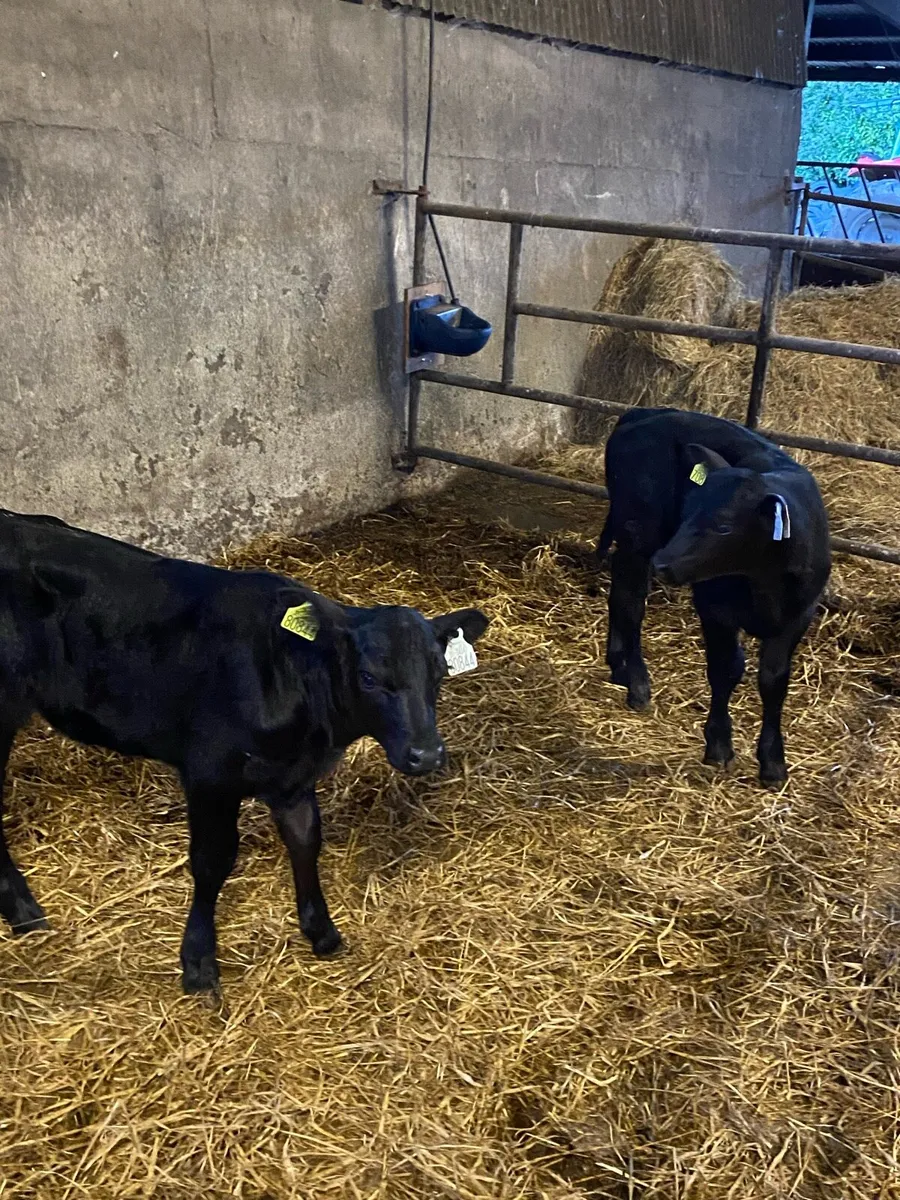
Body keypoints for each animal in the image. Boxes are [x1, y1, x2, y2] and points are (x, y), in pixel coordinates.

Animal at [0, 510, 488, 993]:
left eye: (440, 671)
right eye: (368, 678)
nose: (426, 754)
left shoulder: (294, 777)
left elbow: (306, 840)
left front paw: (320, 930)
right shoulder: (209, 774)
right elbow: (212, 860)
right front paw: (198, 961)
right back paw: (22, 909)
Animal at [598, 407, 830, 785]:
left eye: (724, 526)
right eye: (689, 509)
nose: (664, 563)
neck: (762, 582)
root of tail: (643, 412)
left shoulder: (798, 615)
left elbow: (773, 680)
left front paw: (773, 764)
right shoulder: (715, 608)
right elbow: (726, 669)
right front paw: (719, 745)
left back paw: (618, 665)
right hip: (638, 534)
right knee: (629, 602)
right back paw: (637, 683)